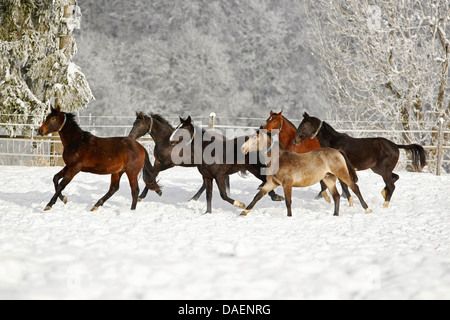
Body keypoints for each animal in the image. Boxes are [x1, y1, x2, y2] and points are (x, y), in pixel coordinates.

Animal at [241, 131, 370, 218]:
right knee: (336, 196)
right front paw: (244, 211)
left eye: (254, 138)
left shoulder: (287, 184)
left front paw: (289, 217)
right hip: (328, 179)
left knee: (355, 188)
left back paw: (367, 209)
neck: (278, 160)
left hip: (342, 174)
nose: (242, 148)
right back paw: (335, 215)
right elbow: (258, 196)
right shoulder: (272, 183)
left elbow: (288, 202)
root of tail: (338, 151)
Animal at [294, 112, 428, 208]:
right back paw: (383, 194)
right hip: (378, 169)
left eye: (304, 125)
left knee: (391, 185)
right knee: (395, 178)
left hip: (383, 170)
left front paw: (348, 202)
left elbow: (343, 186)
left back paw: (385, 205)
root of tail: (395, 145)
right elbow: (341, 186)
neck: (333, 143)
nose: (295, 140)